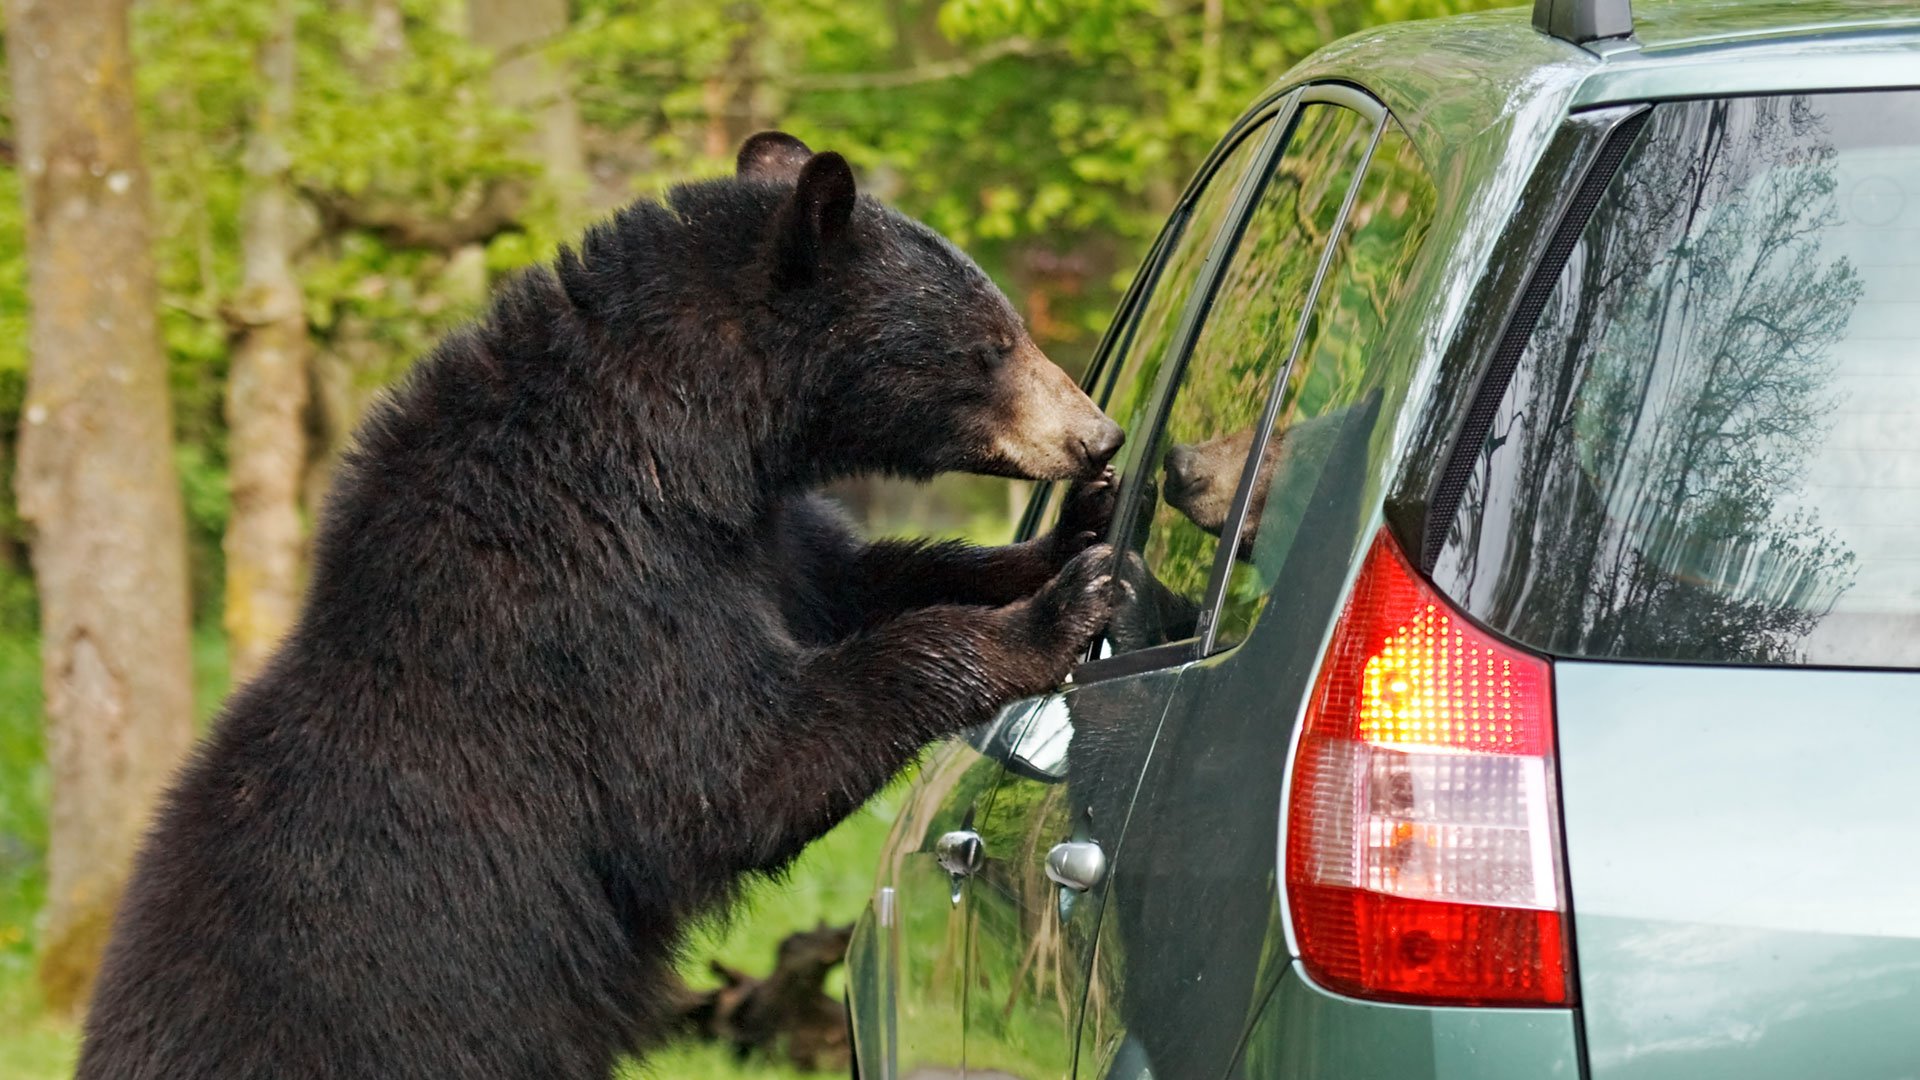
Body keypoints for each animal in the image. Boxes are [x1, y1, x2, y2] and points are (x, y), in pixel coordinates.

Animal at [76, 131, 1122, 1080]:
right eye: (992, 344)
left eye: (1012, 324)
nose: (1100, 435)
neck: (677, 445)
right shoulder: (587, 599)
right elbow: (730, 768)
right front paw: (1055, 614)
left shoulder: (758, 541)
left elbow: (860, 579)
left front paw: (1072, 538)